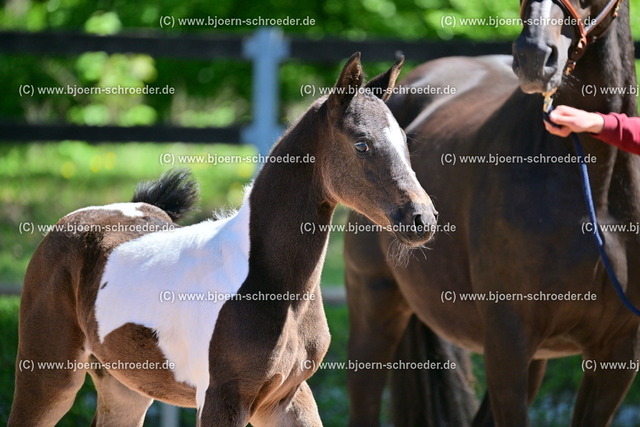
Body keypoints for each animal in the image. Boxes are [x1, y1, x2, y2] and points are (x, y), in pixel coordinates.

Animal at [8, 52, 438, 427]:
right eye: (362, 143)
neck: (276, 286)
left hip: (124, 386)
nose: (423, 219)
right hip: (48, 374)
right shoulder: (222, 399)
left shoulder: (288, 398)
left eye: (405, 142)